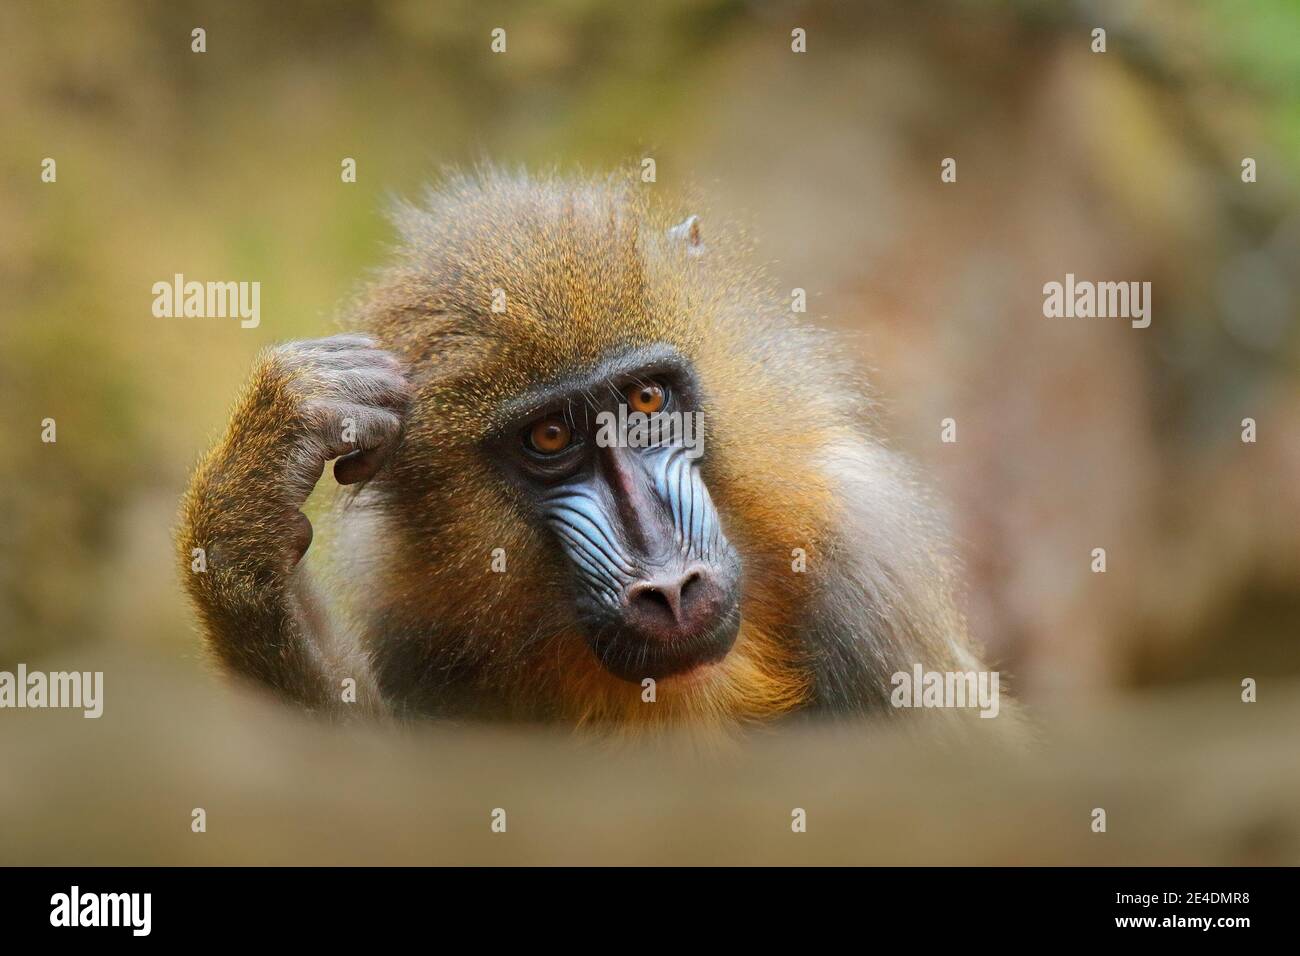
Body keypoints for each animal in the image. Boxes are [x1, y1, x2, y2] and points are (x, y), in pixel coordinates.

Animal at [177, 167, 1005, 734]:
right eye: (550, 437)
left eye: (646, 401)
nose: (670, 588)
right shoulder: (414, 632)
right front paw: (250, 501)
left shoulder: (866, 568)